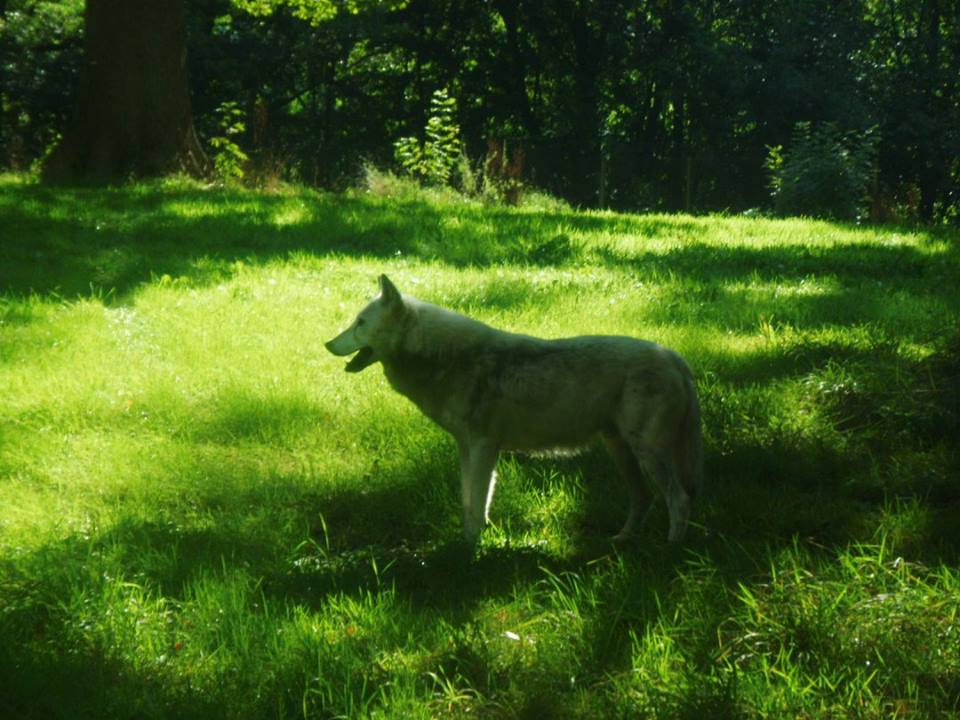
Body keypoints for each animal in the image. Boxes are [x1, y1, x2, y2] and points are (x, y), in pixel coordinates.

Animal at [325, 275, 703, 545]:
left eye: (359, 323)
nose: (327, 343)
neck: (445, 358)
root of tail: (675, 358)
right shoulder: (467, 448)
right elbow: (469, 502)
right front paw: (465, 546)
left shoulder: (484, 447)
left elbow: (477, 505)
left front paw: (471, 551)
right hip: (623, 452)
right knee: (645, 499)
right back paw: (622, 541)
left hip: (647, 453)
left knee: (680, 499)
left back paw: (671, 550)